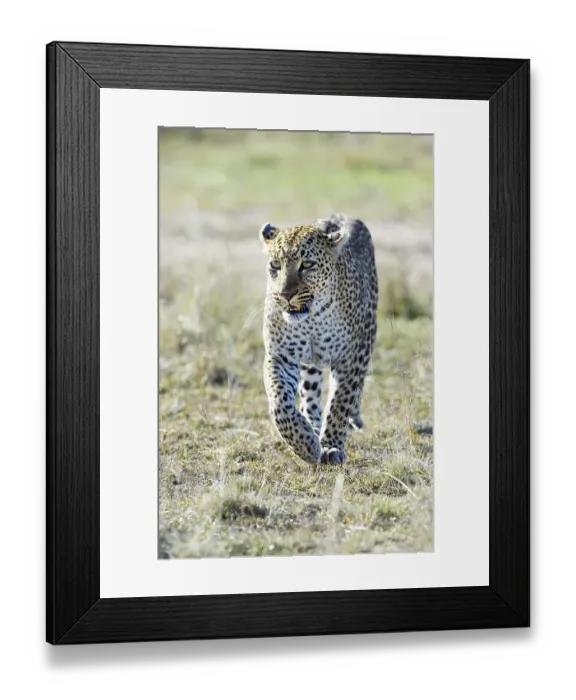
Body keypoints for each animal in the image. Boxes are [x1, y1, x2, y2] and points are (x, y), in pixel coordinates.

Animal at [259, 213, 378, 465]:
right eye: (275, 265)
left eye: (307, 265)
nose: (285, 295)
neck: (312, 318)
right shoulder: (281, 357)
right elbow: (280, 403)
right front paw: (306, 445)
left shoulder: (350, 358)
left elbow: (339, 403)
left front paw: (331, 446)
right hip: (310, 365)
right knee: (309, 393)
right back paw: (312, 426)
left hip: (367, 338)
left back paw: (351, 419)